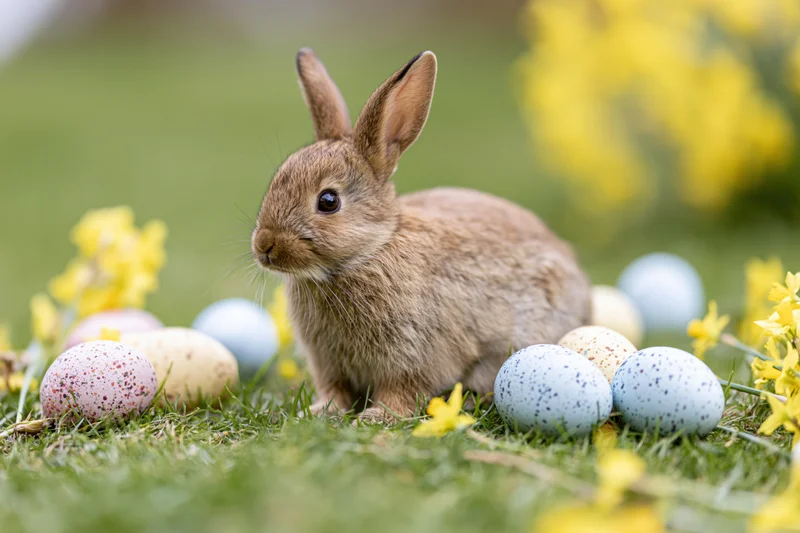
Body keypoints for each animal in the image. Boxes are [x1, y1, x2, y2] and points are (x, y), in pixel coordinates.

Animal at [252, 48, 592, 422]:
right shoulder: (329, 365)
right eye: (276, 181)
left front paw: (376, 417)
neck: (369, 252)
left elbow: (401, 392)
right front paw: (317, 412)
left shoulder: (415, 358)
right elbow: (334, 392)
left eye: (328, 201)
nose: (264, 246)